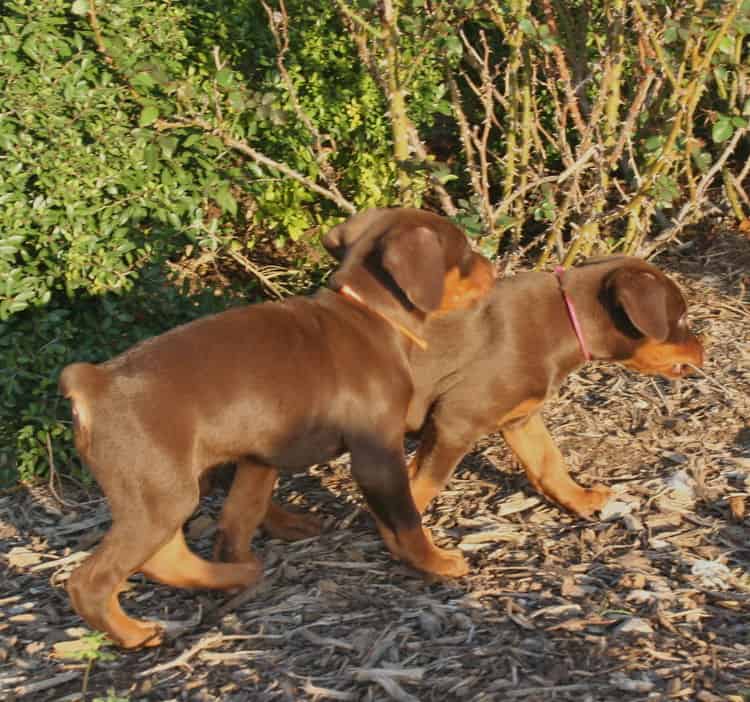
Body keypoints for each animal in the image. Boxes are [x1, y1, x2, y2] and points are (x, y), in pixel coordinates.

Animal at [58, 208, 494, 648]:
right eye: (464, 253)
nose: (492, 266)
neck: (371, 314)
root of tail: (94, 383)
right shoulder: (377, 453)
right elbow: (406, 517)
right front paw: (434, 560)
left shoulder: (259, 458)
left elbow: (240, 516)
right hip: (160, 494)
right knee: (93, 580)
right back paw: (132, 632)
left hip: (165, 492)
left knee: (168, 555)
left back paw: (235, 575)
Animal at [250, 254, 704, 552]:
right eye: (680, 318)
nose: (705, 349)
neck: (564, 322)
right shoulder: (455, 421)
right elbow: (422, 487)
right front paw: (414, 545)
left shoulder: (521, 418)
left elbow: (548, 462)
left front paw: (578, 498)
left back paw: (285, 525)